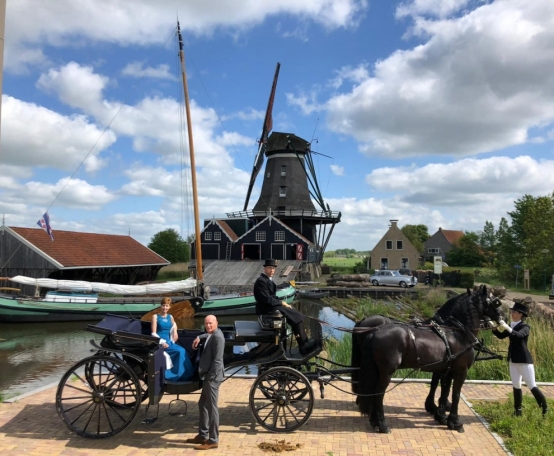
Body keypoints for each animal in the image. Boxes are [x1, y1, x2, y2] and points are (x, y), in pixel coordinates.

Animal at [352, 286, 498, 432]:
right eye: (496, 302)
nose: (499, 319)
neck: (458, 332)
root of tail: (374, 331)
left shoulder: (446, 369)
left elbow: (443, 388)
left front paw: (440, 414)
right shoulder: (461, 370)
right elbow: (455, 394)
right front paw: (455, 421)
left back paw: (375, 421)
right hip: (387, 371)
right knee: (378, 393)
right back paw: (382, 424)